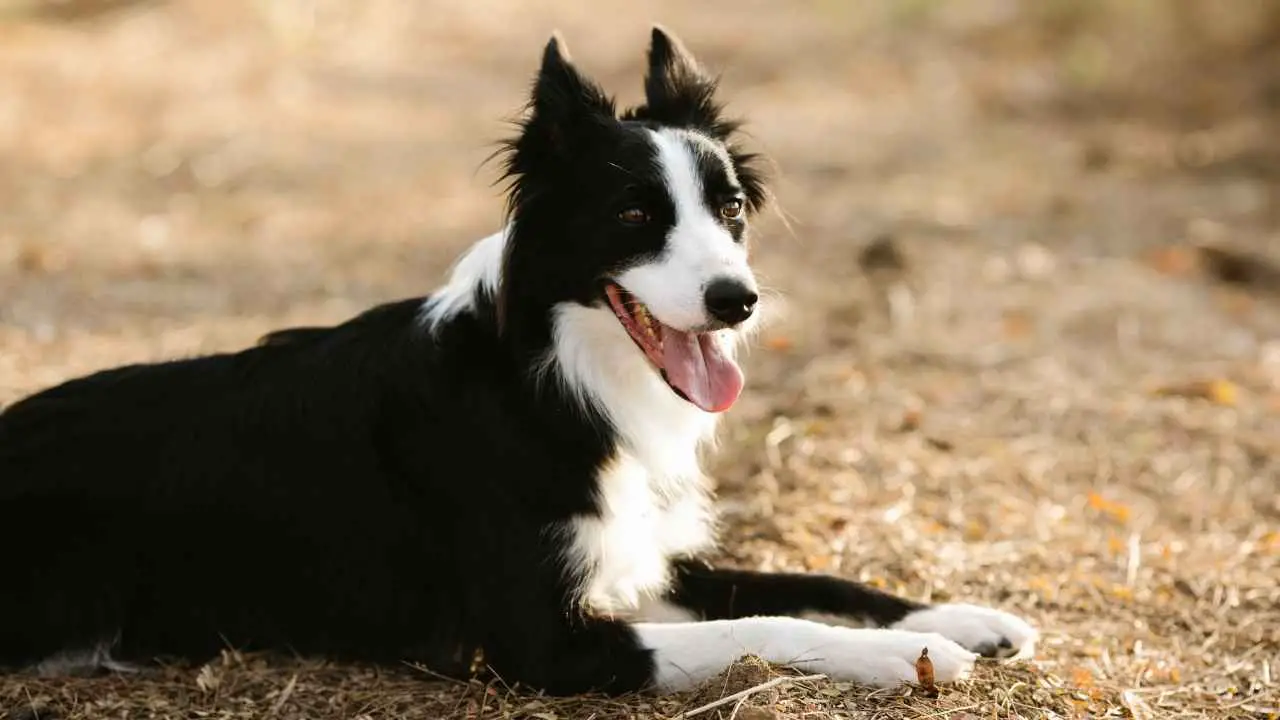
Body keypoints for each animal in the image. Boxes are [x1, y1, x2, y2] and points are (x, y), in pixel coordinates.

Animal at [0, 29, 1034, 696]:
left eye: (732, 209)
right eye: (634, 214)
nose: (737, 299)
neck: (555, 379)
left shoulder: (635, 558)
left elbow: (808, 583)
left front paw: (960, 618)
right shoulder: (542, 640)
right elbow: (768, 621)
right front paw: (907, 661)